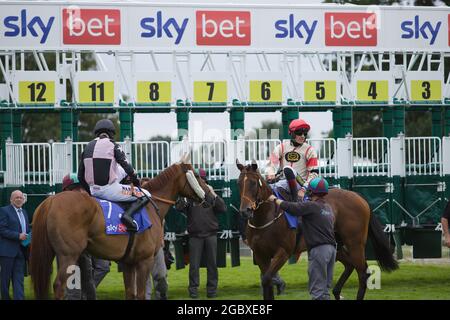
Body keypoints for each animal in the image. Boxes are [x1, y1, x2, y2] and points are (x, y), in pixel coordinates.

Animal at [29, 158, 213, 300]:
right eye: (197, 175)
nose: (211, 197)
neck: (151, 205)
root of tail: (51, 201)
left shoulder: (128, 262)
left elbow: (130, 293)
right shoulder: (145, 260)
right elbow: (140, 294)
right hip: (69, 255)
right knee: (59, 286)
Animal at [236, 162, 398, 300]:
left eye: (253, 183)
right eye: (239, 183)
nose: (245, 211)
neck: (266, 216)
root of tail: (359, 197)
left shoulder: (283, 252)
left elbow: (267, 279)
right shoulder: (260, 254)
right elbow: (267, 282)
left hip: (355, 243)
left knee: (363, 272)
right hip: (335, 244)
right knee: (350, 265)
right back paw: (336, 292)